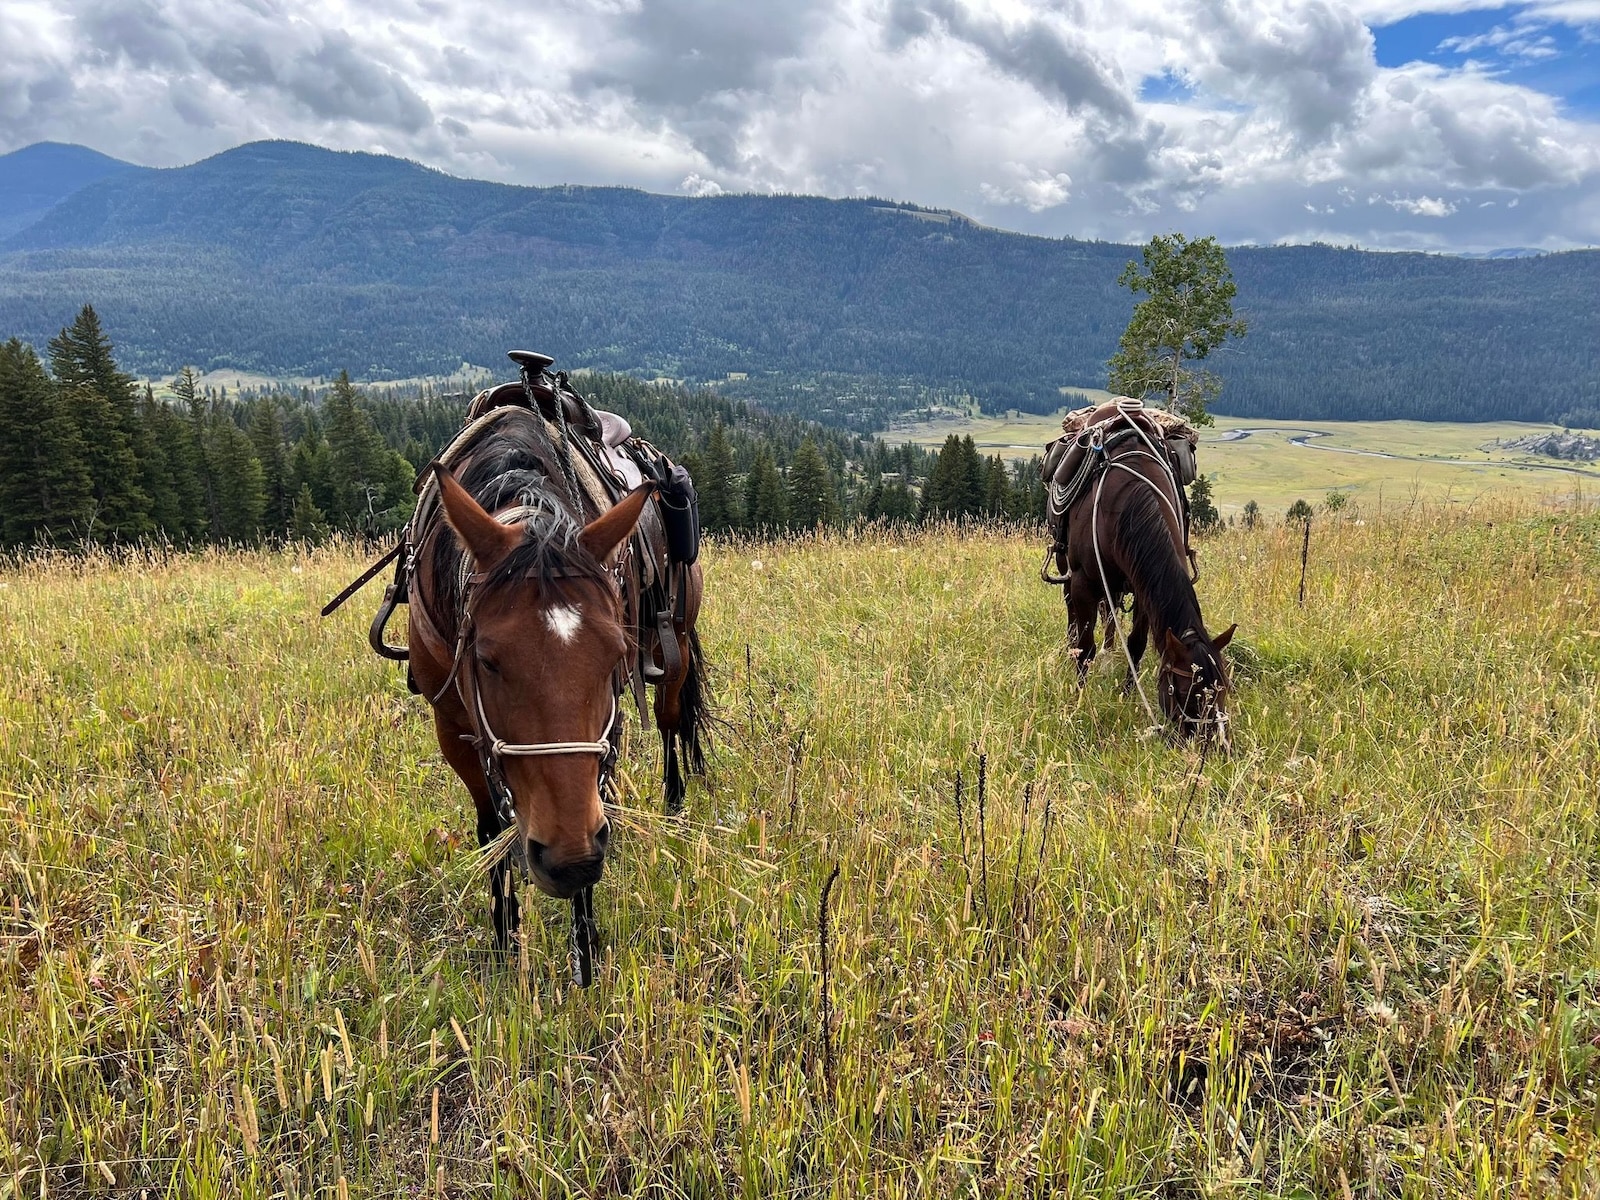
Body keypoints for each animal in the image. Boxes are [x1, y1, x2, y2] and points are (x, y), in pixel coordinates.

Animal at [403, 405, 708, 975]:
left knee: (670, 721)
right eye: (486, 660)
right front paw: (505, 940)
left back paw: (675, 800)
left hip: (674, 641)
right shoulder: (453, 729)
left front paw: (586, 949)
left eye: (613, 654)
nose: (570, 861)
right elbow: (493, 832)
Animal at [1055, 404, 1236, 744]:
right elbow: (1085, 648)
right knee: (1074, 617)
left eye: (1223, 691)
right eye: (1184, 691)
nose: (1212, 745)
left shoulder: (1142, 589)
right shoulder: (1084, 582)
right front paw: (1078, 698)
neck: (1123, 504)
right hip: (1067, 574)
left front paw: (1127, 694)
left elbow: (1136, 645)